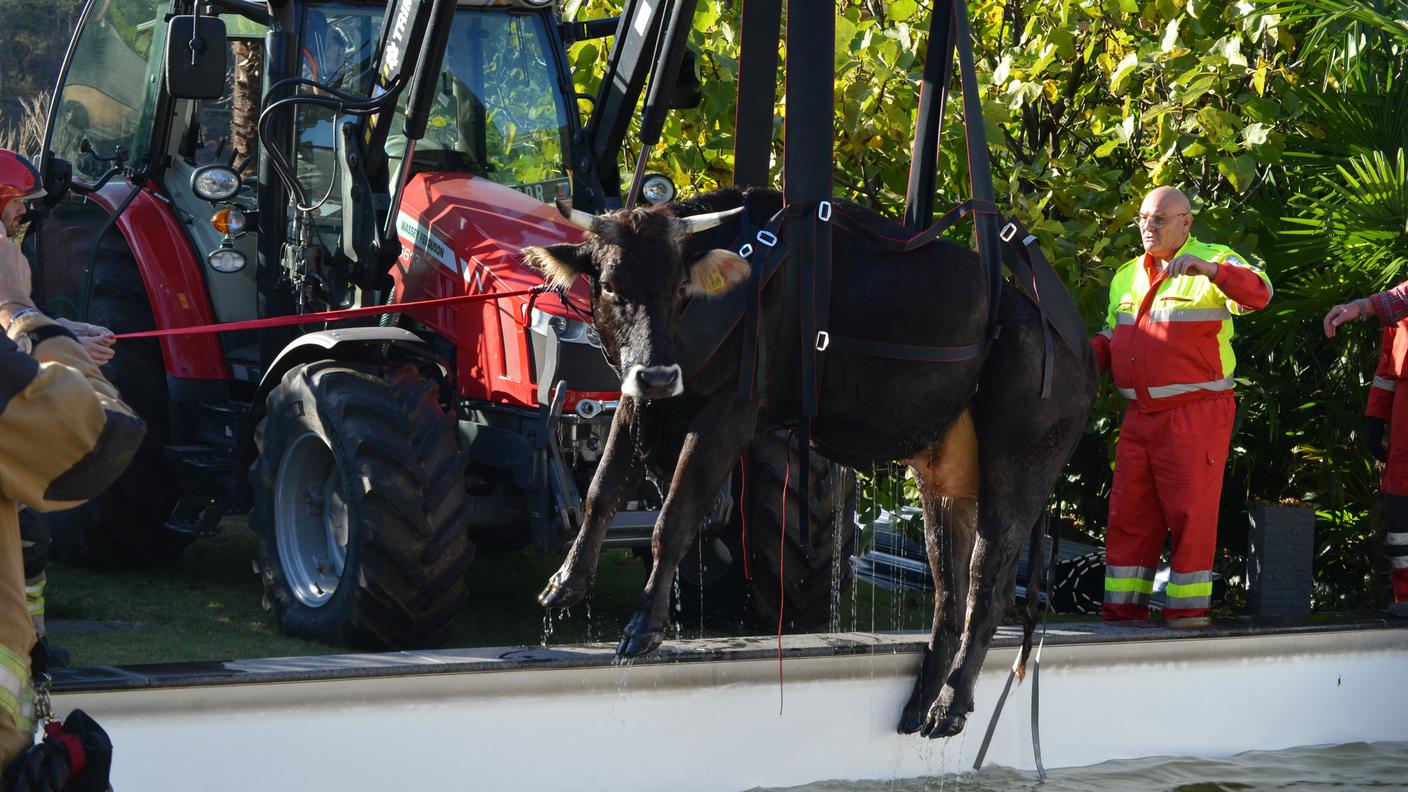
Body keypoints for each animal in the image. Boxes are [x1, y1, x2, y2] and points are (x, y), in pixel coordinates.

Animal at [523, 187, 1092, 738]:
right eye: (610, 285)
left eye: (681, 288)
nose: (660, 374)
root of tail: (1065, 337)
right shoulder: (636, 397)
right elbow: (601, 491)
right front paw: (565, 582)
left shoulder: (728, 413)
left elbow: (674, 516)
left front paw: (645, 627)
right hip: (945, 481)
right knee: (948, 593)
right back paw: (924, 700)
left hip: (1019, 469)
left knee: (987, 587)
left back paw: (950, 705)